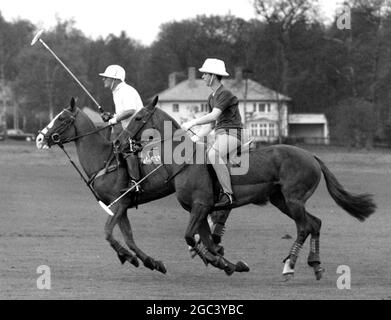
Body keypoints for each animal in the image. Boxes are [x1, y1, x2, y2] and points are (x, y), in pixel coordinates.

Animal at [36, 97, 376, 280]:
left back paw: (290, 266)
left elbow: (119, 234)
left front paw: (217, 261)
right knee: (314, 223)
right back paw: (314, 266)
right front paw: (151, 261)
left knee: (305, 225)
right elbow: (142, 237)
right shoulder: (188, 208)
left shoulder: (138, 204)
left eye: (62, 118)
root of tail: (312, 155)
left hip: (293, 198)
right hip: (281, 199)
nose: (40, 137)